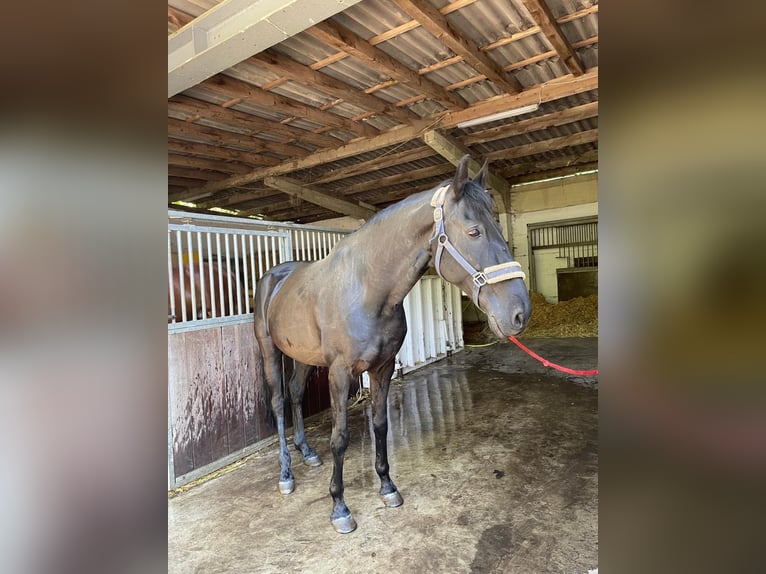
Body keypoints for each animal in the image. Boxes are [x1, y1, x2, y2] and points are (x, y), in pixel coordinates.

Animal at [255, 156, 532, 536]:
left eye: (500, 227)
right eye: (474, 231)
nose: (520, 313)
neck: (367, 289)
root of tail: (274, 276)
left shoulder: (383, 367)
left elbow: (381, 425)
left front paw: (387, 488)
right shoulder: (340, 373)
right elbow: (340, 437)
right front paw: (339, 508)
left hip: (303, 356)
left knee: (296, 393)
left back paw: (307, 452)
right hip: (270, 351)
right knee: (279, 402)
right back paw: (286, 474)